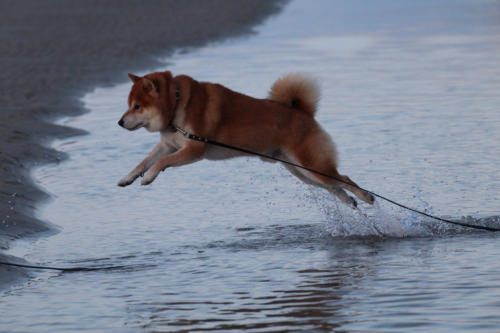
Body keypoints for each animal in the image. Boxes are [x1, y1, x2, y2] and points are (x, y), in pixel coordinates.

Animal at [118, 71, 376, 206]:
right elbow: (145, 161)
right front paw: (127, 177)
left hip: (312, 166)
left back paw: (366, 196)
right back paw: (349, 201)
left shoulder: (194, 150)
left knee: (344, 179)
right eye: (129, 105)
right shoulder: (168, 144)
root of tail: (302, 112)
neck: (178, 104)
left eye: (137, 106)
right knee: (334, 186)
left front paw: (149, 177)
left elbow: (161, 163)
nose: (119, 122)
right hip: (302, 172)